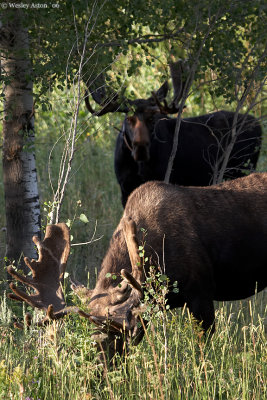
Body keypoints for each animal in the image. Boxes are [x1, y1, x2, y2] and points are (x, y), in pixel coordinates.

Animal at [86, 63, 264, 206]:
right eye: (128, 119)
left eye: (152, 119)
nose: (141, 148)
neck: (138, 167)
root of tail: (259, 125)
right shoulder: (124, 188)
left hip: (243, 168)